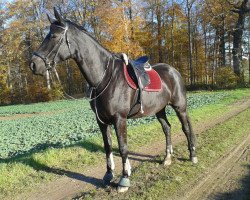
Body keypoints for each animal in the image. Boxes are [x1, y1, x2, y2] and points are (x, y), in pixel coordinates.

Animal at [29, 8, 197, 193]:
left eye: (53, 36)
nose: (33, 64)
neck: (104, 78)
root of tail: (173, 71)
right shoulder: (101, 121)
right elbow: (108, 146)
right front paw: (109, 175)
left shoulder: (119, 119)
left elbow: (123, 147)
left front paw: (124, 179)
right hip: (159, 109)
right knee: (167, 128)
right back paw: (167, 158)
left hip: (180, 107)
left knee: (186, 128)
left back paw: (192, 155)